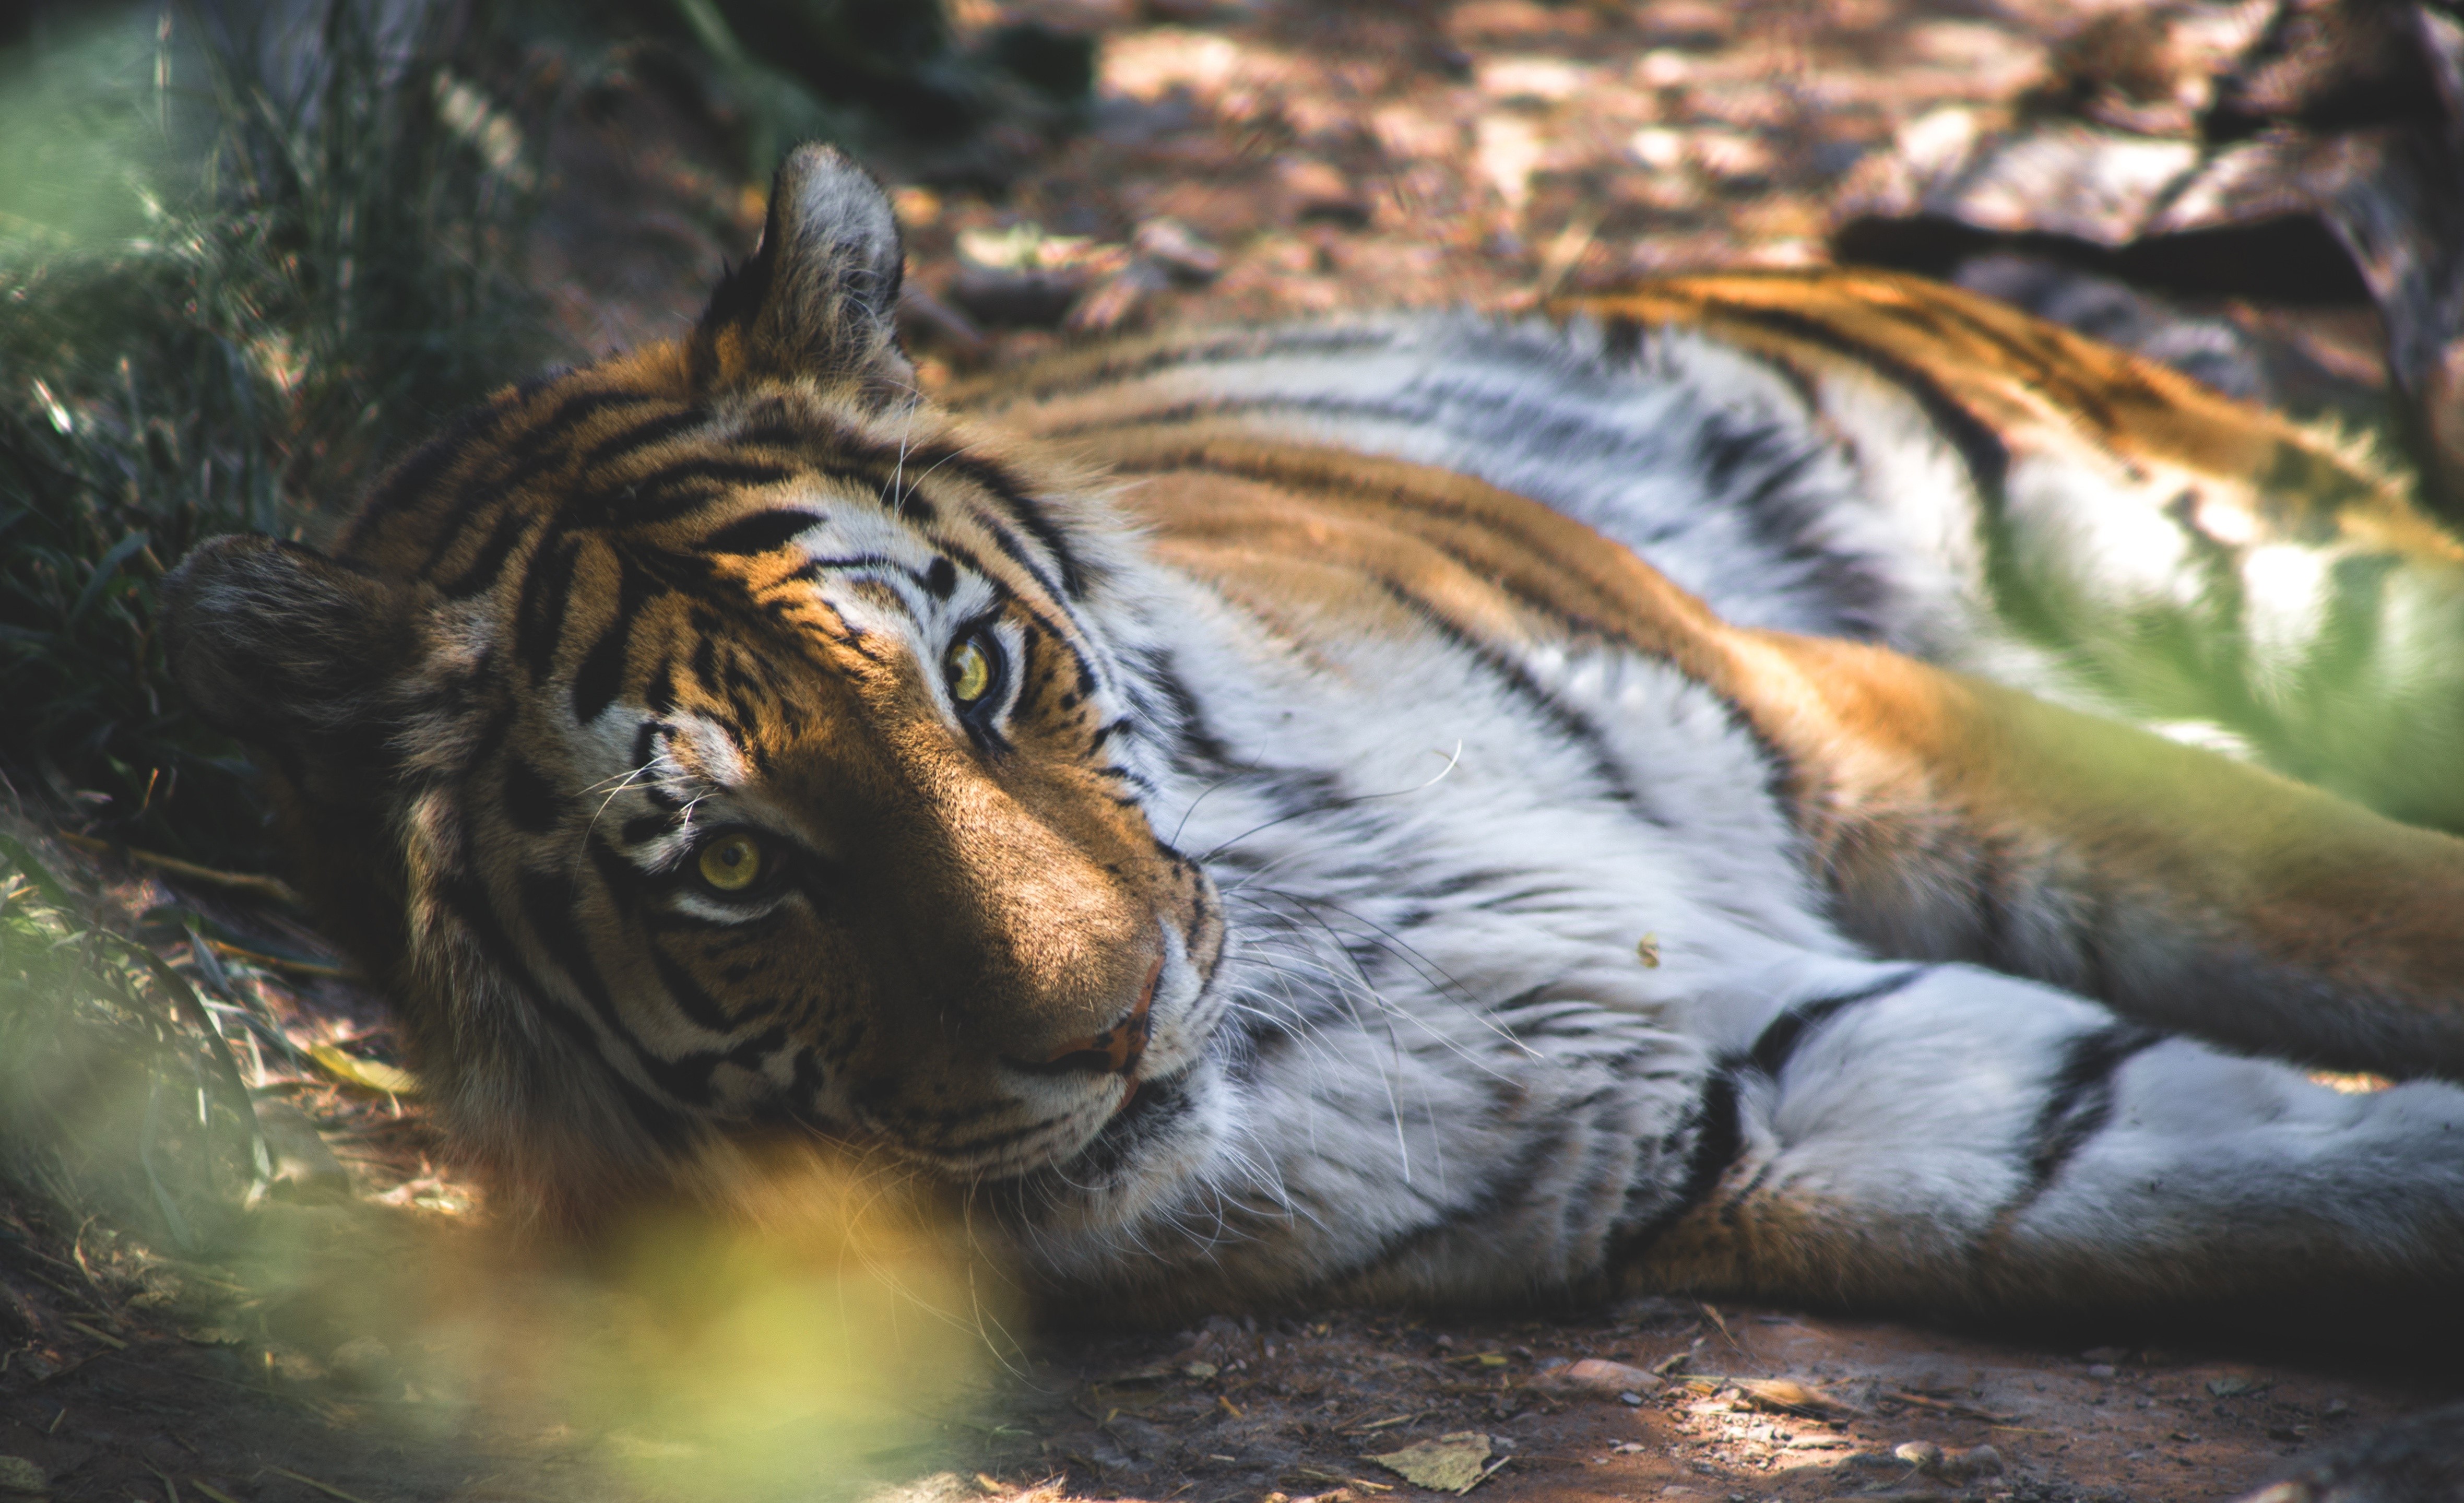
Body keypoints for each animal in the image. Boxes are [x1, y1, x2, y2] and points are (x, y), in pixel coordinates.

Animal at [161, 145, 2464, 1346]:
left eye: (971, 675)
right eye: (730, 865)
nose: (1109, 1025)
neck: (1316, 928)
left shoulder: (1843, 728)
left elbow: (2361, 902)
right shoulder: (1777, 1095)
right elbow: (2279, 1174)